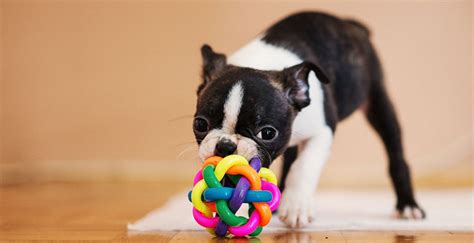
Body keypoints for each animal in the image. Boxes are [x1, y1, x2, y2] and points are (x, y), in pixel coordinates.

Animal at [193, 11, 426, 228]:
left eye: (267, 133)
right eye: (200, 124)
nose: (226, 146)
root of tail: (350, 24)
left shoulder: (323, 131)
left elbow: (303, 166)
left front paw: (296, 207)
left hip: (378, 102)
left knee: (395, 153)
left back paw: (408, 206)